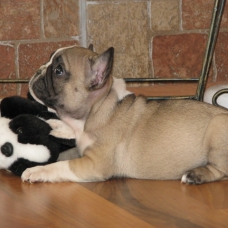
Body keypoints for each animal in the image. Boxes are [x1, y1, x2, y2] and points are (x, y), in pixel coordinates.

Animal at [21, 44, 228, 183]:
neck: (96, 109)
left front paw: (37, 171)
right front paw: (55, 126)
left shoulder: (94, 164)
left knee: (221, 170)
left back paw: (195, 175)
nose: (38, 70)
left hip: (217, 127)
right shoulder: (81, 149)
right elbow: (63, 154)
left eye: (59, 70)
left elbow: (62, 165)